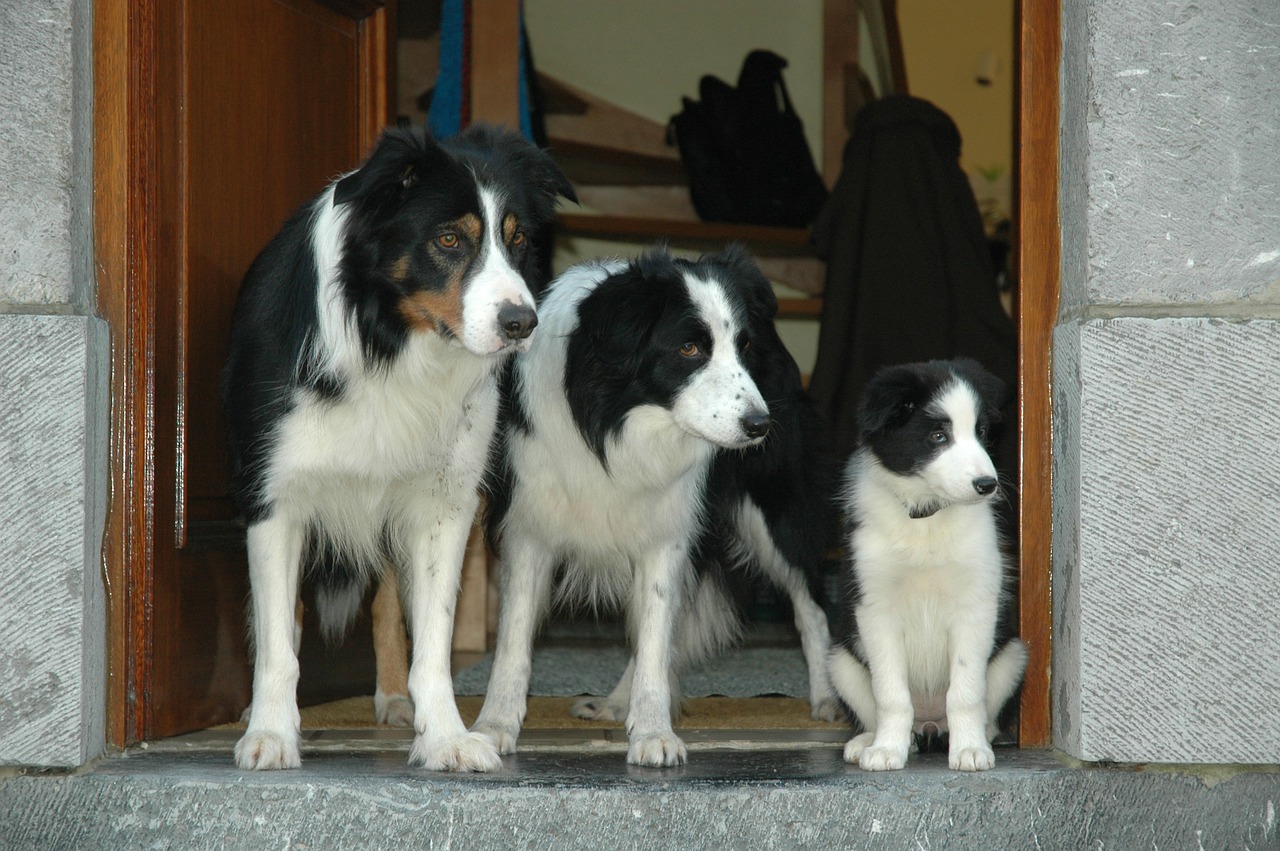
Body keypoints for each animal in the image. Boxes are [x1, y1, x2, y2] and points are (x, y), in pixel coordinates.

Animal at [222, 124, 573, 767]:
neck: (391, 343)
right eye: (449, 238)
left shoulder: (446, 501)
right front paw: (270, 732)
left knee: (387, 595)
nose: (522, 323)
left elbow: (432, 637)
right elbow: (280, 635)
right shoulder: (273, 494)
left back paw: (393, 699)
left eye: (517, 240)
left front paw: (447, 736)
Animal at [473, 244, 839, 762]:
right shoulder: (529, 527)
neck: (616, 422)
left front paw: (653, 734)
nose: (760, 426)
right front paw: (494, 726)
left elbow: (655, 635)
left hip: (773, 509)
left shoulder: (668, 531)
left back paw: (827, 697)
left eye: (744, 347)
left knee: (810, 601)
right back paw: (612, 703)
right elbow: (513, 640)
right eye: (688, 349)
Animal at [829, 355, 1029, 767]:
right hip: (840, 661)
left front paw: (969, 750)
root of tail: (930, 725)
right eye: (938, 436)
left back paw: (977, 737)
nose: (988, 485)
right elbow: (890, 694)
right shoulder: (875, 610)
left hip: (1012, 655)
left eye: (981, 432)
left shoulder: (976, 606)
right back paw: (873, 741)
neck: (927, 517)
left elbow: (965, 692)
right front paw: (886, 750)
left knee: (984, 711)